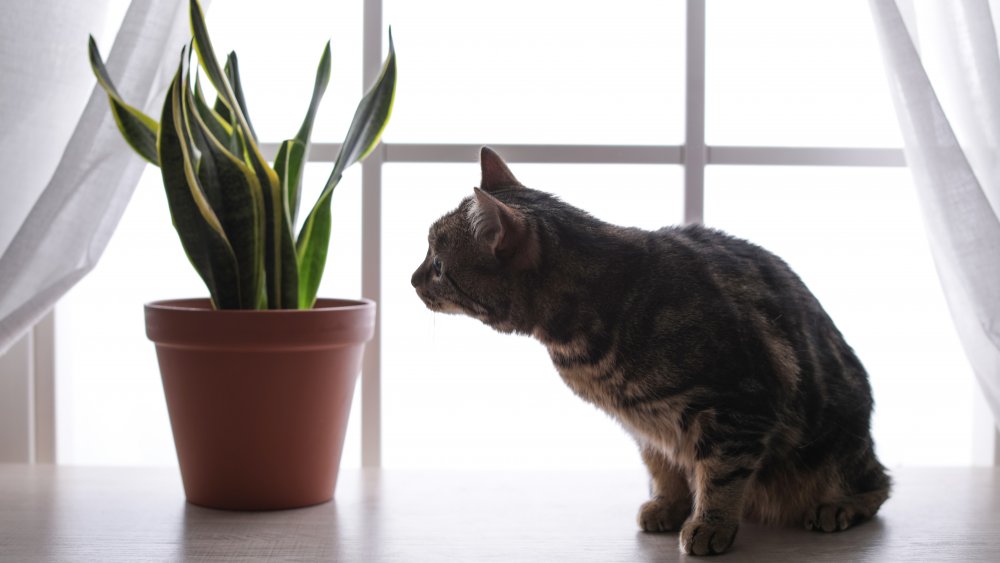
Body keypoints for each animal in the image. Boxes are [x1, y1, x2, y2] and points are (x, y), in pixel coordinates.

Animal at [410, 148, 896, 556]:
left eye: (438, 266)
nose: (412, 279)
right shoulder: (643, 424)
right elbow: (663, 466)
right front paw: (669, 505)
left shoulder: (739, 404)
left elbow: (721, 473)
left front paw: (710, 523)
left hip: (833, 444)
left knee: (879, 482)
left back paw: (838, 505)